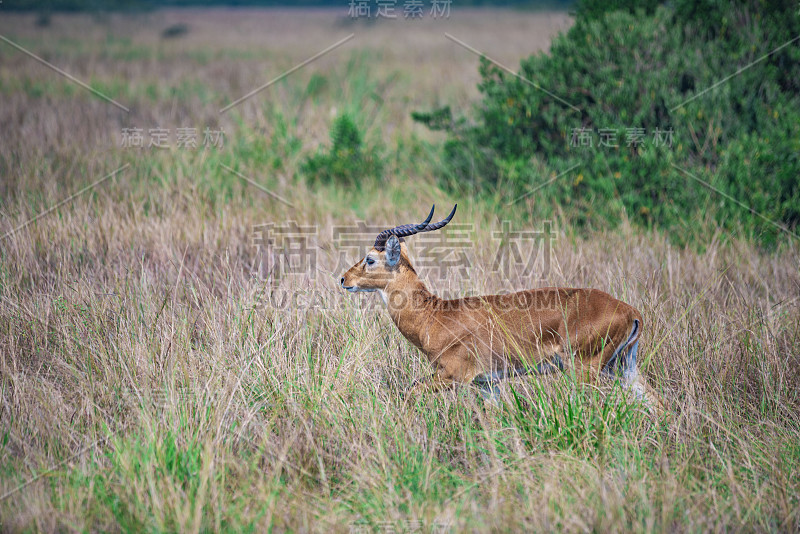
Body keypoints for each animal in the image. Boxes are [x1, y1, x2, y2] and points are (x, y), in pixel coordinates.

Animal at [340, 206, 664, 414]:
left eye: (370, 259)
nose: (344, 279)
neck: (434, 316)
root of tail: (631, 312)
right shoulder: (488, 384)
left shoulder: (453, 377)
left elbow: (410, 393)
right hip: (625, 367)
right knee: (657, 404)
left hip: (585, 370)